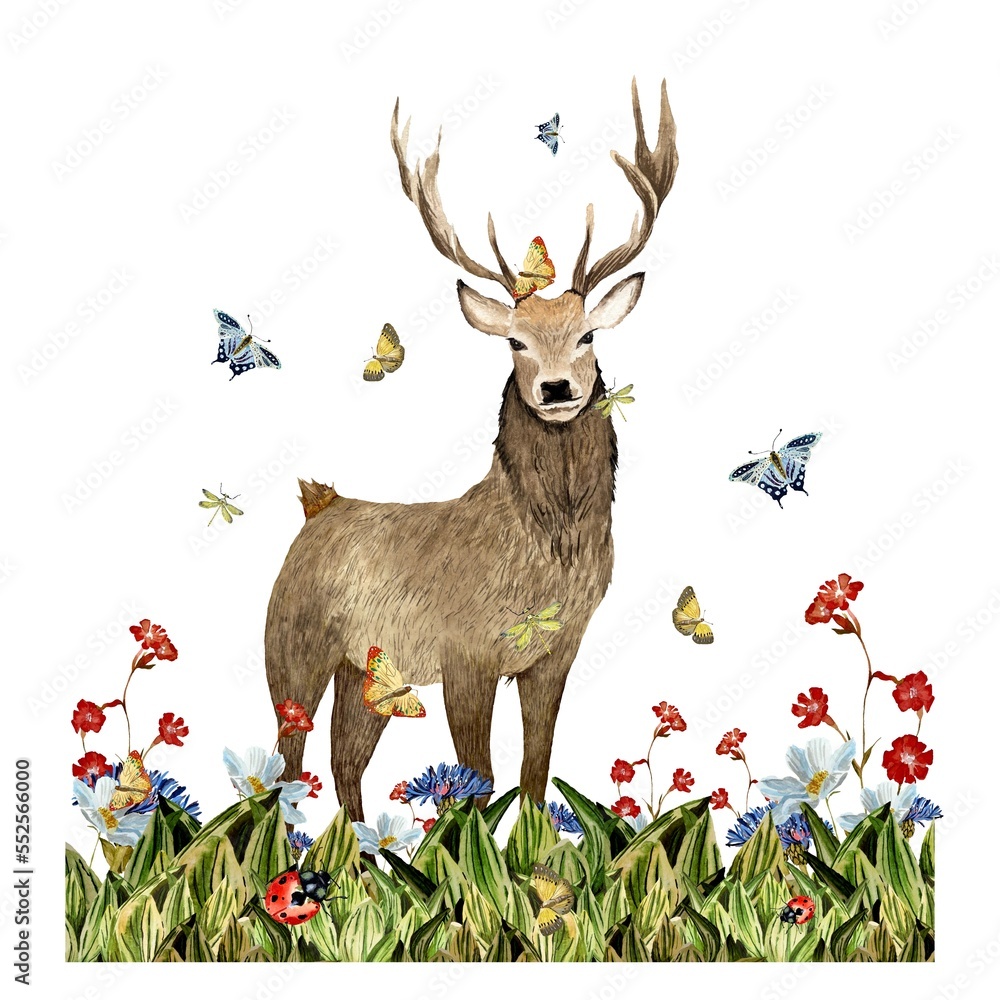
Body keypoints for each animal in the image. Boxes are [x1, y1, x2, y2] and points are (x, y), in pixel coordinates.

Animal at [265, 79, 678, 824]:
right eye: (515, 340)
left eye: (587, 335)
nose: (555, 387)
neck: (539, 563)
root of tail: (318, 506)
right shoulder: (463, 652)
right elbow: (477, 779)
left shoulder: (554, 654)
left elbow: (536, 771)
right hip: (291, 644)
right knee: (287, 760)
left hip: (369, 671)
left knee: (345, 758)